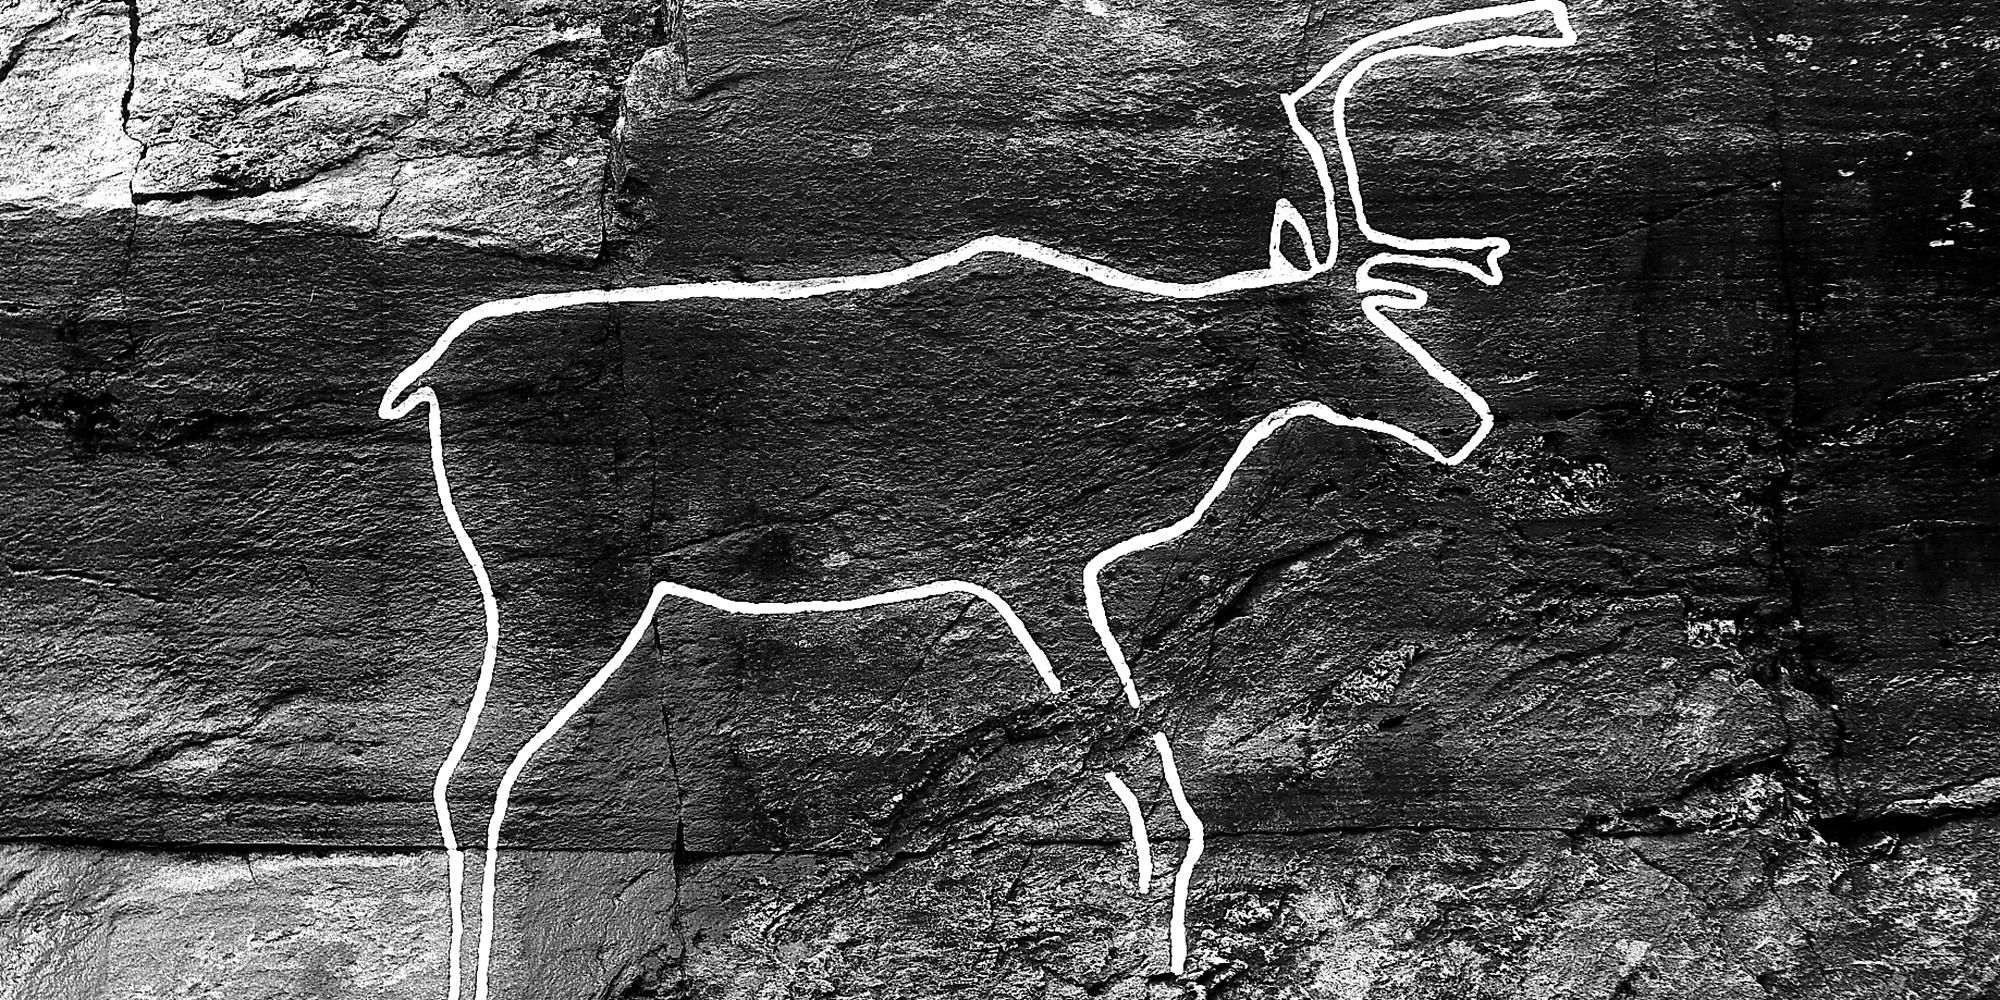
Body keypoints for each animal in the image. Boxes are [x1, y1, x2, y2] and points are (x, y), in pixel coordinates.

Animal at [377, 4, 1577, 997]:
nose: (1462, 416)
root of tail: (427, 374)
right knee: (467, 777)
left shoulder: (1036, 573)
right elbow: (1137, 761)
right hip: (555, 587)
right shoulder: (1042, 559)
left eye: (1389, 311)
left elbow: (1120, 764)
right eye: (1334, 331)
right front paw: (1164, 949)